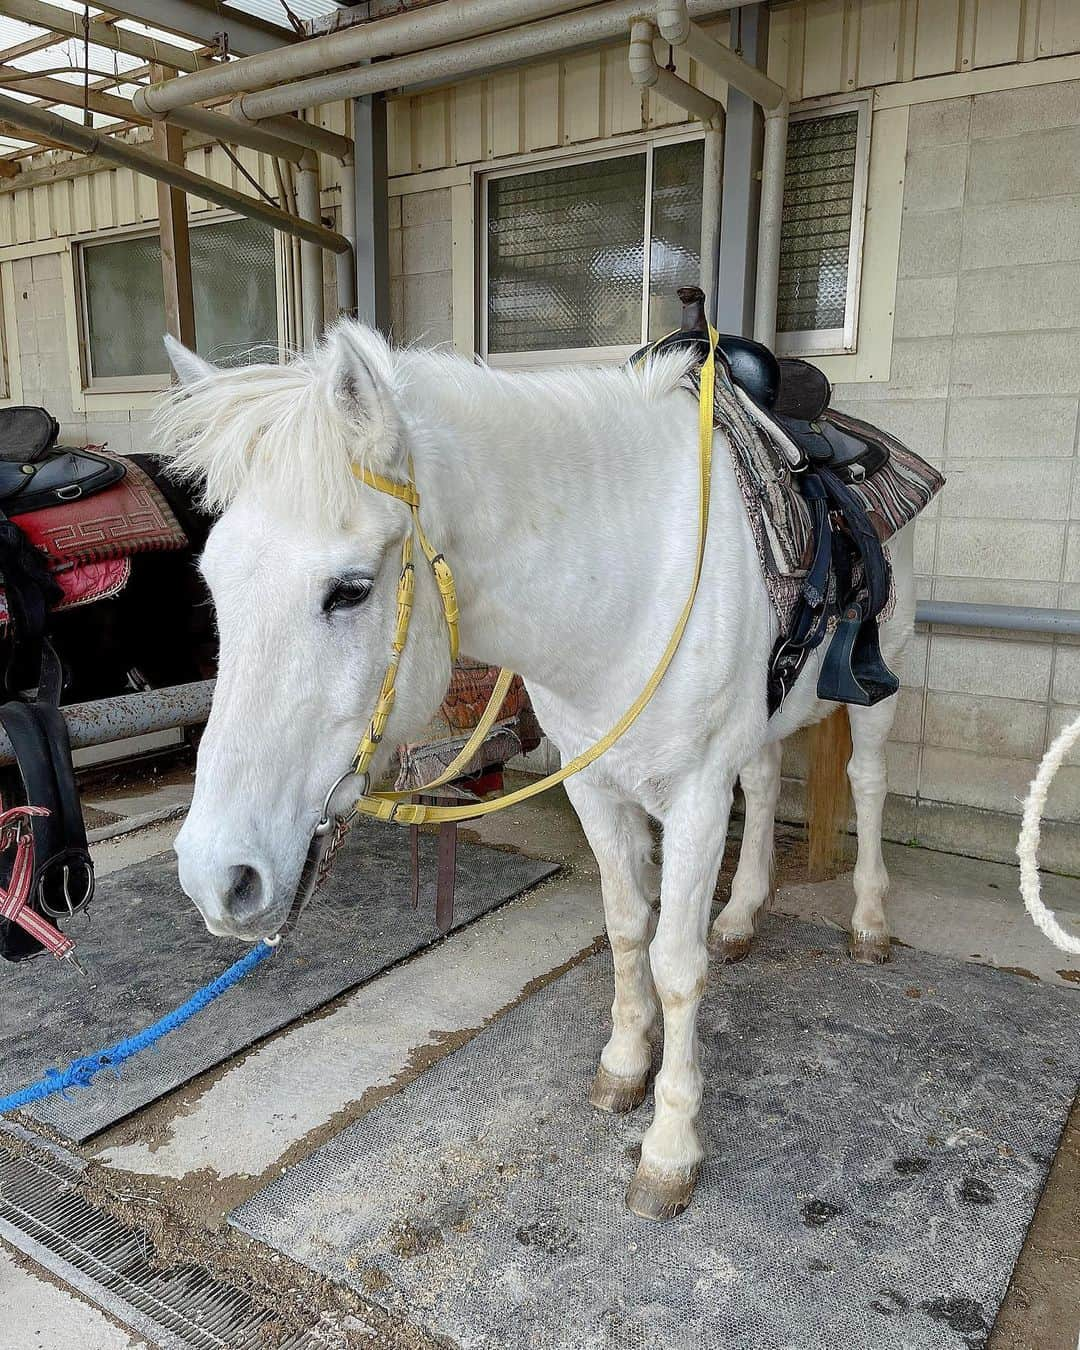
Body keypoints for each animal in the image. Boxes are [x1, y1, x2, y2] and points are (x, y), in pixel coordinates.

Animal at [155, 324, 907, 1225]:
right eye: (212, 582)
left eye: (351, 590)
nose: (213, 878)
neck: (629, 581)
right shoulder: (595, 785)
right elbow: (626, 928)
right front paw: (624, 1066)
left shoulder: (694, 796)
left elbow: (675, 963)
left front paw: (669, 1148)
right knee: (762, 785)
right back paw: (741, 917)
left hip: (879, 687)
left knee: (868, 783)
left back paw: (868, 924)